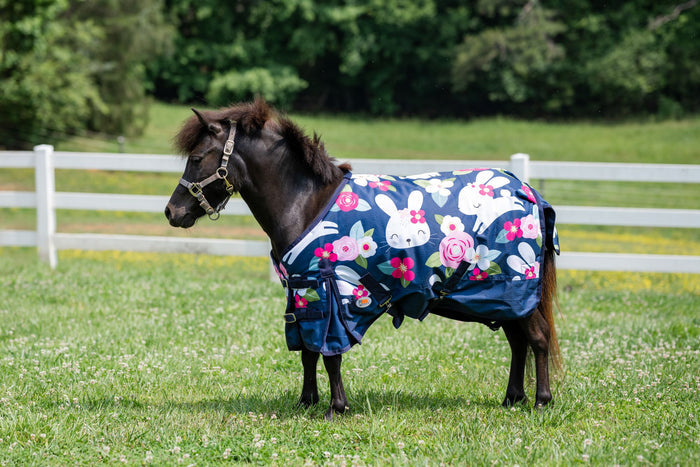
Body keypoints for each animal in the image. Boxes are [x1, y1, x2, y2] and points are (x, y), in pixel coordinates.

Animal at [165, 98, 561, 419]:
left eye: (197, 159)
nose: (172, 211)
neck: (305, 202)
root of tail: (529, 192)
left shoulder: (330, 293)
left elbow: (329, 353)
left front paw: (335, 407)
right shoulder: (303, 294)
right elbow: (308, 351)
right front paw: (306, 402)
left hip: (516, 288)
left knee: (538, 339)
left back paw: (541, 401)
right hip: (505, 298)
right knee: (519, 343)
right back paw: (512, 398)